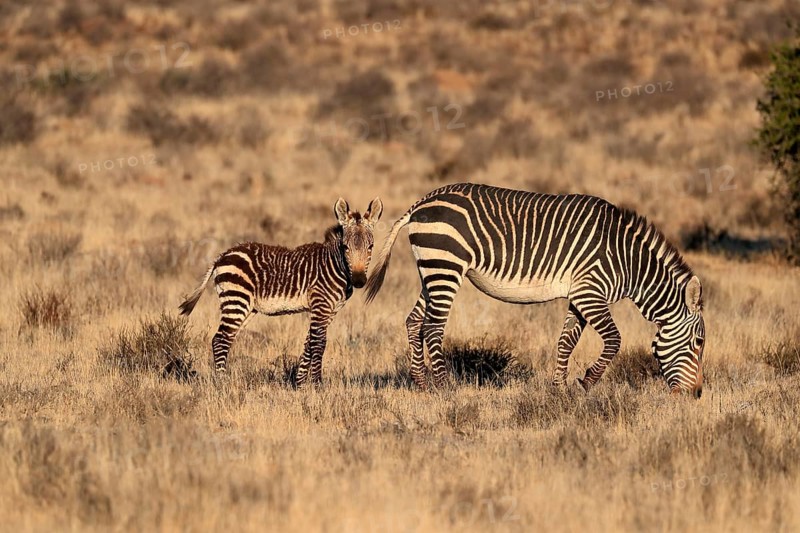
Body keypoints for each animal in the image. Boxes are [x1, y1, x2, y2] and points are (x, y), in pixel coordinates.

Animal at [179, 197, 383, 386]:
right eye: (345, 247)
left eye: (370, 246)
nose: (359, 281)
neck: (334, 265)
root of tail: (222, 256)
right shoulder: (321, 305)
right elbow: (318, 344)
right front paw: (317, 384)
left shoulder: (330, 310)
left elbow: (309, 342)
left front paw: (300, 383)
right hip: (237, 299)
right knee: (219, 340)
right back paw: (222, 382)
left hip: (246, 307)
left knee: (226, 338)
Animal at [365, 183, 705, 397]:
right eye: (698, 343)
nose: (697, 394)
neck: (627, 261)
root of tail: (422, 201)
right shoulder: (591, 292)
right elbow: (614, 340)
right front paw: (586, 382)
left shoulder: (579, 296)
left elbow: (566, 342)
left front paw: (560, 389)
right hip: (445, 266)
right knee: (433, 327)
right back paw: (445, 386)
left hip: (432, 270)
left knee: (414, 321)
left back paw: (421, 383)